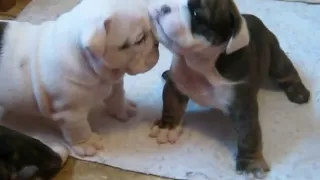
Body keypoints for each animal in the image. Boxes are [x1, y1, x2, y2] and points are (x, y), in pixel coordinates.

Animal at [0, 0, 159, 157]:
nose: (157, 43)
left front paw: (123, 109)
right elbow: (79, 129)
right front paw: (88, 143)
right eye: (140, 40)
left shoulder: (115, 83)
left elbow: (116, 98)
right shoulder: (71, 113)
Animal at [149, 0, 312, 178]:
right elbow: (171, 107)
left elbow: (248, 135)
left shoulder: (243, 107)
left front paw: (250, 164)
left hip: (276, 57)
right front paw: (167, 127)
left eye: (196, 14)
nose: (165, 7)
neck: (201, 64)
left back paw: (299, 92)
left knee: (288, 72)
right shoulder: (176, 86)